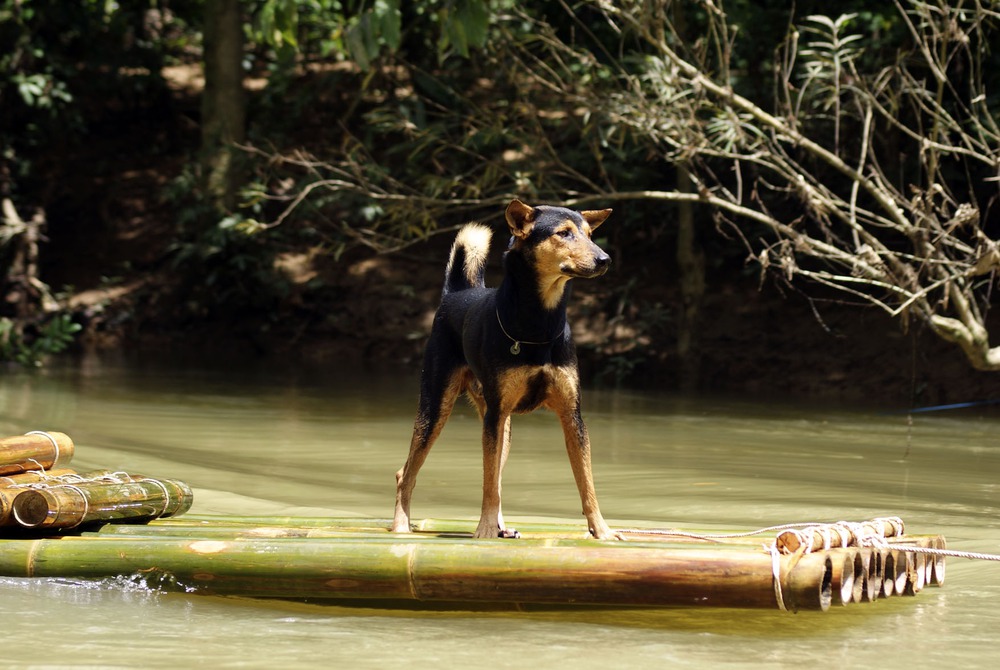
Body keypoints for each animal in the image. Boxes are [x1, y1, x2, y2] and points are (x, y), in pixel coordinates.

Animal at [392, 200, 616, 540]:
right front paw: (484, 529)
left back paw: (501, 526)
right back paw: (401, 525)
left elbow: (586, 482)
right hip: (437, 408)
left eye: (590, 235)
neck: (538, 324)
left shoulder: (572, 414)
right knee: (406, 472)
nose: (605, 260)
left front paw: (601, 530)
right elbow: (487, 484)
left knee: (495, 477)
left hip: (503, 427)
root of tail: (454, 294)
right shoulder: (495, 415)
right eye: (563, 233)